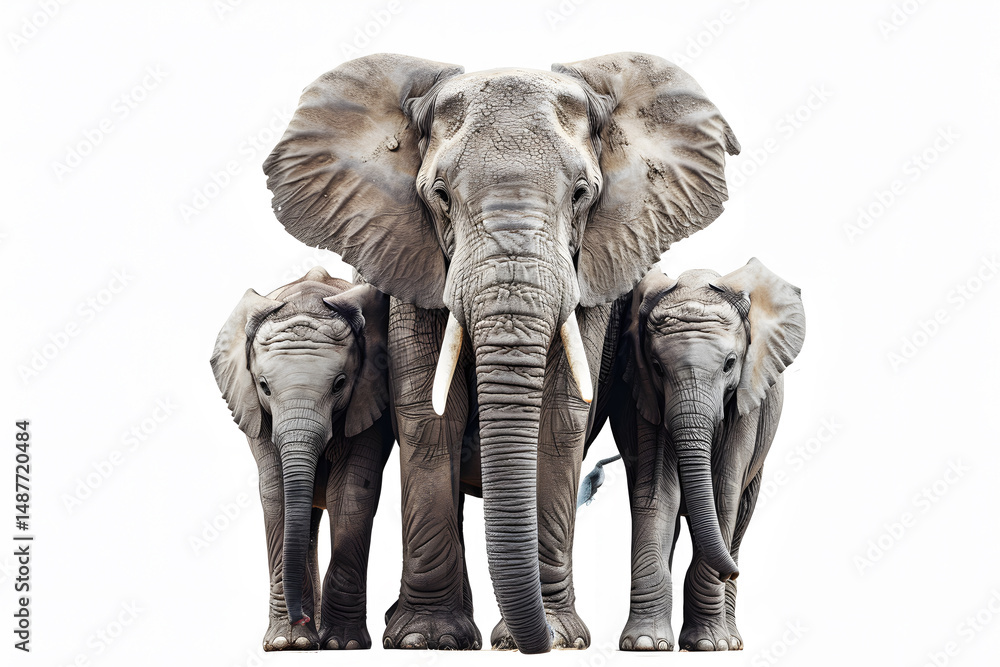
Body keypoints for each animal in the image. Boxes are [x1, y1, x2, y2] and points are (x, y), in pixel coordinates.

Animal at [210, 266, 393, 651]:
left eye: (340, 384)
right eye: (264, 386)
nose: (301, 619)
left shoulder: (371, 399)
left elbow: (352, 492)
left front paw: (343, 645)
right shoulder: (255, 411)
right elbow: (276, 493)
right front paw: (287, 644)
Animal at [262, 52, 739, 653]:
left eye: (582, 194)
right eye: (440, 196)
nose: (531, 637)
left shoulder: (593, 273)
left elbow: (560, 420)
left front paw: (556, 638)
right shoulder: (408, 258)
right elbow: (429, 417)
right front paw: (429, 639)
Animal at [606, 258, 805, 651]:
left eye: (729, 363)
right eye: (657, 366)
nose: (734, 573)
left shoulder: (747, 397)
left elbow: (724, 494)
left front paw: (709, 646)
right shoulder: (646, 398)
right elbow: (658, 497)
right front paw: (645, 645)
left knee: (740, 518)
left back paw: (733, 640)